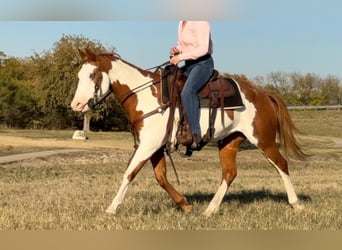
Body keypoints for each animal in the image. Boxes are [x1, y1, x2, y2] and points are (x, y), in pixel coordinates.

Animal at [71, 48, 306, 217]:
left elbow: (129, 173)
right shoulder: (156, 147)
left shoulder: (148, 146)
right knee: (229, 174)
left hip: (264, 140)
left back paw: (296, 204)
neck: (146, 96)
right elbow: (161, 177)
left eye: (92, 74)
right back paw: (210, 210)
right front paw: (185, 205)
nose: (76, 104)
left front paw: (111, 208)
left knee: (281, 165)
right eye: (79, 75)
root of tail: (263, 94)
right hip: (229, 142)